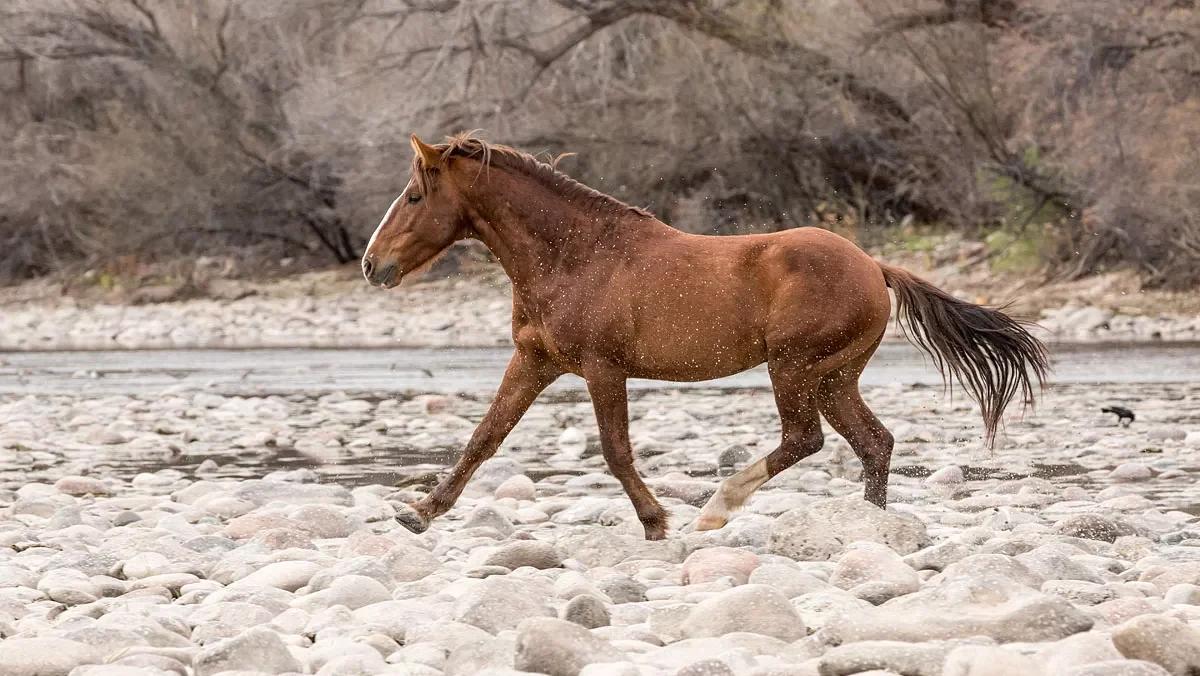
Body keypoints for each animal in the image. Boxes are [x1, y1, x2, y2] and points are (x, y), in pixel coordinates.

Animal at [362, 132, 1048, 540]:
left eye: (415, 195)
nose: (372, 265)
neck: (576, 256)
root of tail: (875, 267)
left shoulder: (602, 368)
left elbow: (615, 451)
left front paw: (656, 522)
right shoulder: (534, 360)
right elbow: (483, 438)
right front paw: (419, 512)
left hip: (794, 368)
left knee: (806, 440)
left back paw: (718, 508)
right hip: (834, 377)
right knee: (873, 443)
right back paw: (863, 524)